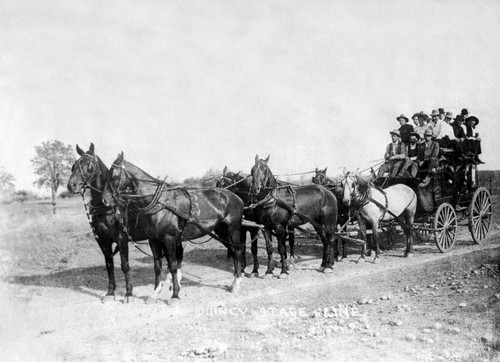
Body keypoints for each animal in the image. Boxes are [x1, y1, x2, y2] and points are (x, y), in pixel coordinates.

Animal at [67, 143, 152, 302]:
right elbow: (109, 265)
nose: (71, 185)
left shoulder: (122, 239)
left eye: (89, 165)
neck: (108, 207)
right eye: (74, 165)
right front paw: (110, 292)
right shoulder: (103, 240)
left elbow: (125, 265)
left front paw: (128, 293)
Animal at [101, 151, 246, 302]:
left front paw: (175, 294)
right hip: (221, 231)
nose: (105, 199)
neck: (161, 203)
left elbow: (173, 266)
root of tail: (234, 196)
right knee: (233, 251)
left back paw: (236, 283)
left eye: (114, 174)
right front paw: (155, 293)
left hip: (233, 229)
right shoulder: (154, 240)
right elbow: (157, 266)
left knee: (237, 251)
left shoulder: (169, 239)